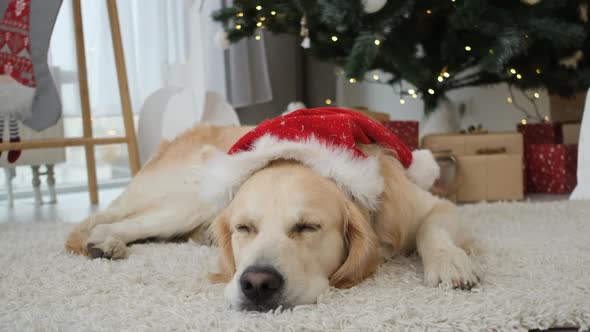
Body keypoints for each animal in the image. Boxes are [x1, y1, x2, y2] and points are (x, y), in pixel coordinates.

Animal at [66, 124, 480, 312]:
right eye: (243, 228)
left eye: (308, 227)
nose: (257, 284)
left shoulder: (434, 207)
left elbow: (432, 230)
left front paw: (450, 263)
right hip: (187, 200)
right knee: (116, 221)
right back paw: (104, 242)